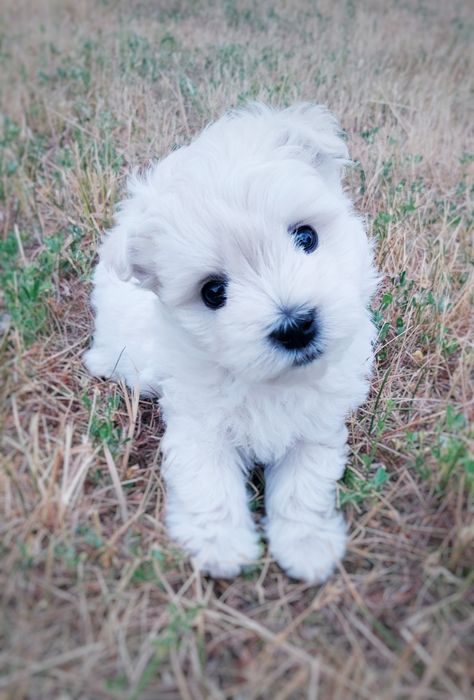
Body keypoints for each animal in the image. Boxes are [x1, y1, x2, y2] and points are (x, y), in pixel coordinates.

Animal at [85, 102, 378, 584]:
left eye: (307, 237)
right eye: (213, 292)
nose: (296, 325)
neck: (269, 383)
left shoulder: (317, 428)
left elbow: (305, 485)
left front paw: (307, 544)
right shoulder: (198, 426)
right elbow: (208, 480)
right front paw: (220, 542)